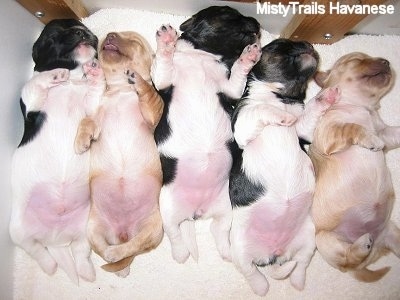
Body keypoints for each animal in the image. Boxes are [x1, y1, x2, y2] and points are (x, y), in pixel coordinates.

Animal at [9, 18, 101, 284]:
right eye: (54, 35)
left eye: (83, 28)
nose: (83, 32)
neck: (72, 82)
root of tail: (56, 239)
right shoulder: (31, 102)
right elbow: (35, 81)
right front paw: (55, 73)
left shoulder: (90, 103)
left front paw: (94, 70)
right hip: (17, 230)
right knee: (36, 249)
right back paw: (50, 265)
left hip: (85, 229)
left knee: (79, 252)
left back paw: (86, 272)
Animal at [74, 31, 163, 278]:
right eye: (108, 37)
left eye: (134, 41)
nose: (110, 35)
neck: (121, 89)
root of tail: (123, 233)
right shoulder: (96, 118)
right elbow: (87, 120)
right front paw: (81, 141)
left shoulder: (153, 111)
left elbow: (149, 92)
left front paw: (139, 80)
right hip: (93, 228)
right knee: (106, 250)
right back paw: (117, 263)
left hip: (155, 229)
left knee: (135, 246)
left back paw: (117, 256)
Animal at [152, 5, 260, 264]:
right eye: (229, 13)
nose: (257, 21)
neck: (200, 55)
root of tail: (196, 212)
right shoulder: (162, 81)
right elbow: (163, 62)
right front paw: (166, 40)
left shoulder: (229, 89)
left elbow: (238, 74)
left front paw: (248, 57)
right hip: (167, 206)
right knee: (174, 233)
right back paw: (180, 254)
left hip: (225, 209)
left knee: (217, 231)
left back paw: (227, 252)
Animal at [230, 38, 336, 296]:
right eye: (281, 44)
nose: (309, 44)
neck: (282, 97)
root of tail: (274, 253)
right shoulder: (242, 125)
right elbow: (261, 109)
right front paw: (281, 116)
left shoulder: (303, 131)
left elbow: (308, 114)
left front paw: (326, 96)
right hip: (238, 245)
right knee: (249, 270)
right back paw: (261, 288)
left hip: (309, 237)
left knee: (301, 263)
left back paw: (297, 282)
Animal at [310, 51, 400, 282]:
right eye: (356, 60)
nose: (387, 62)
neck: (362, 108)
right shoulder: (329, 133)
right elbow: (353, 127)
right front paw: (371, 140)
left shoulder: (386, 132)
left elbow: (394, 131)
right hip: (325, 240)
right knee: (347, 260)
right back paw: (362, 246)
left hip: (392, 234)